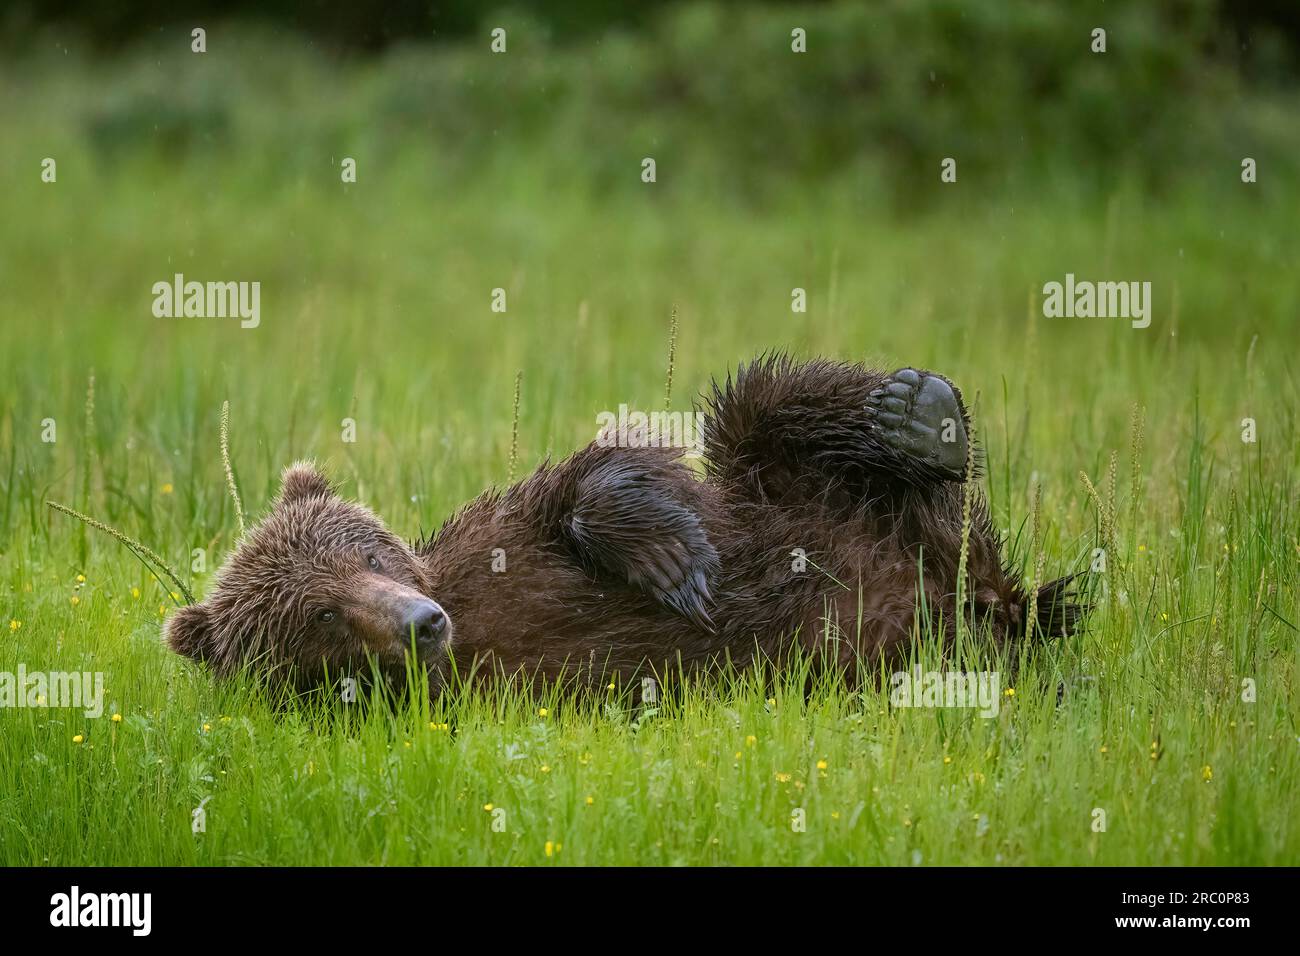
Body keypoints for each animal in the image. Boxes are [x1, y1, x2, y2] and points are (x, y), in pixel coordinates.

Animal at [165, 356, 1086, 697]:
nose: (422, 622)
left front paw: (673, 559)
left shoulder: (498, 535)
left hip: (808, 501)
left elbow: (597, 474)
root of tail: (977, 595)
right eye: (319, 615)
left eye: (368, 552)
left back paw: (919, 416)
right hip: (904, 638)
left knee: (760, 408)